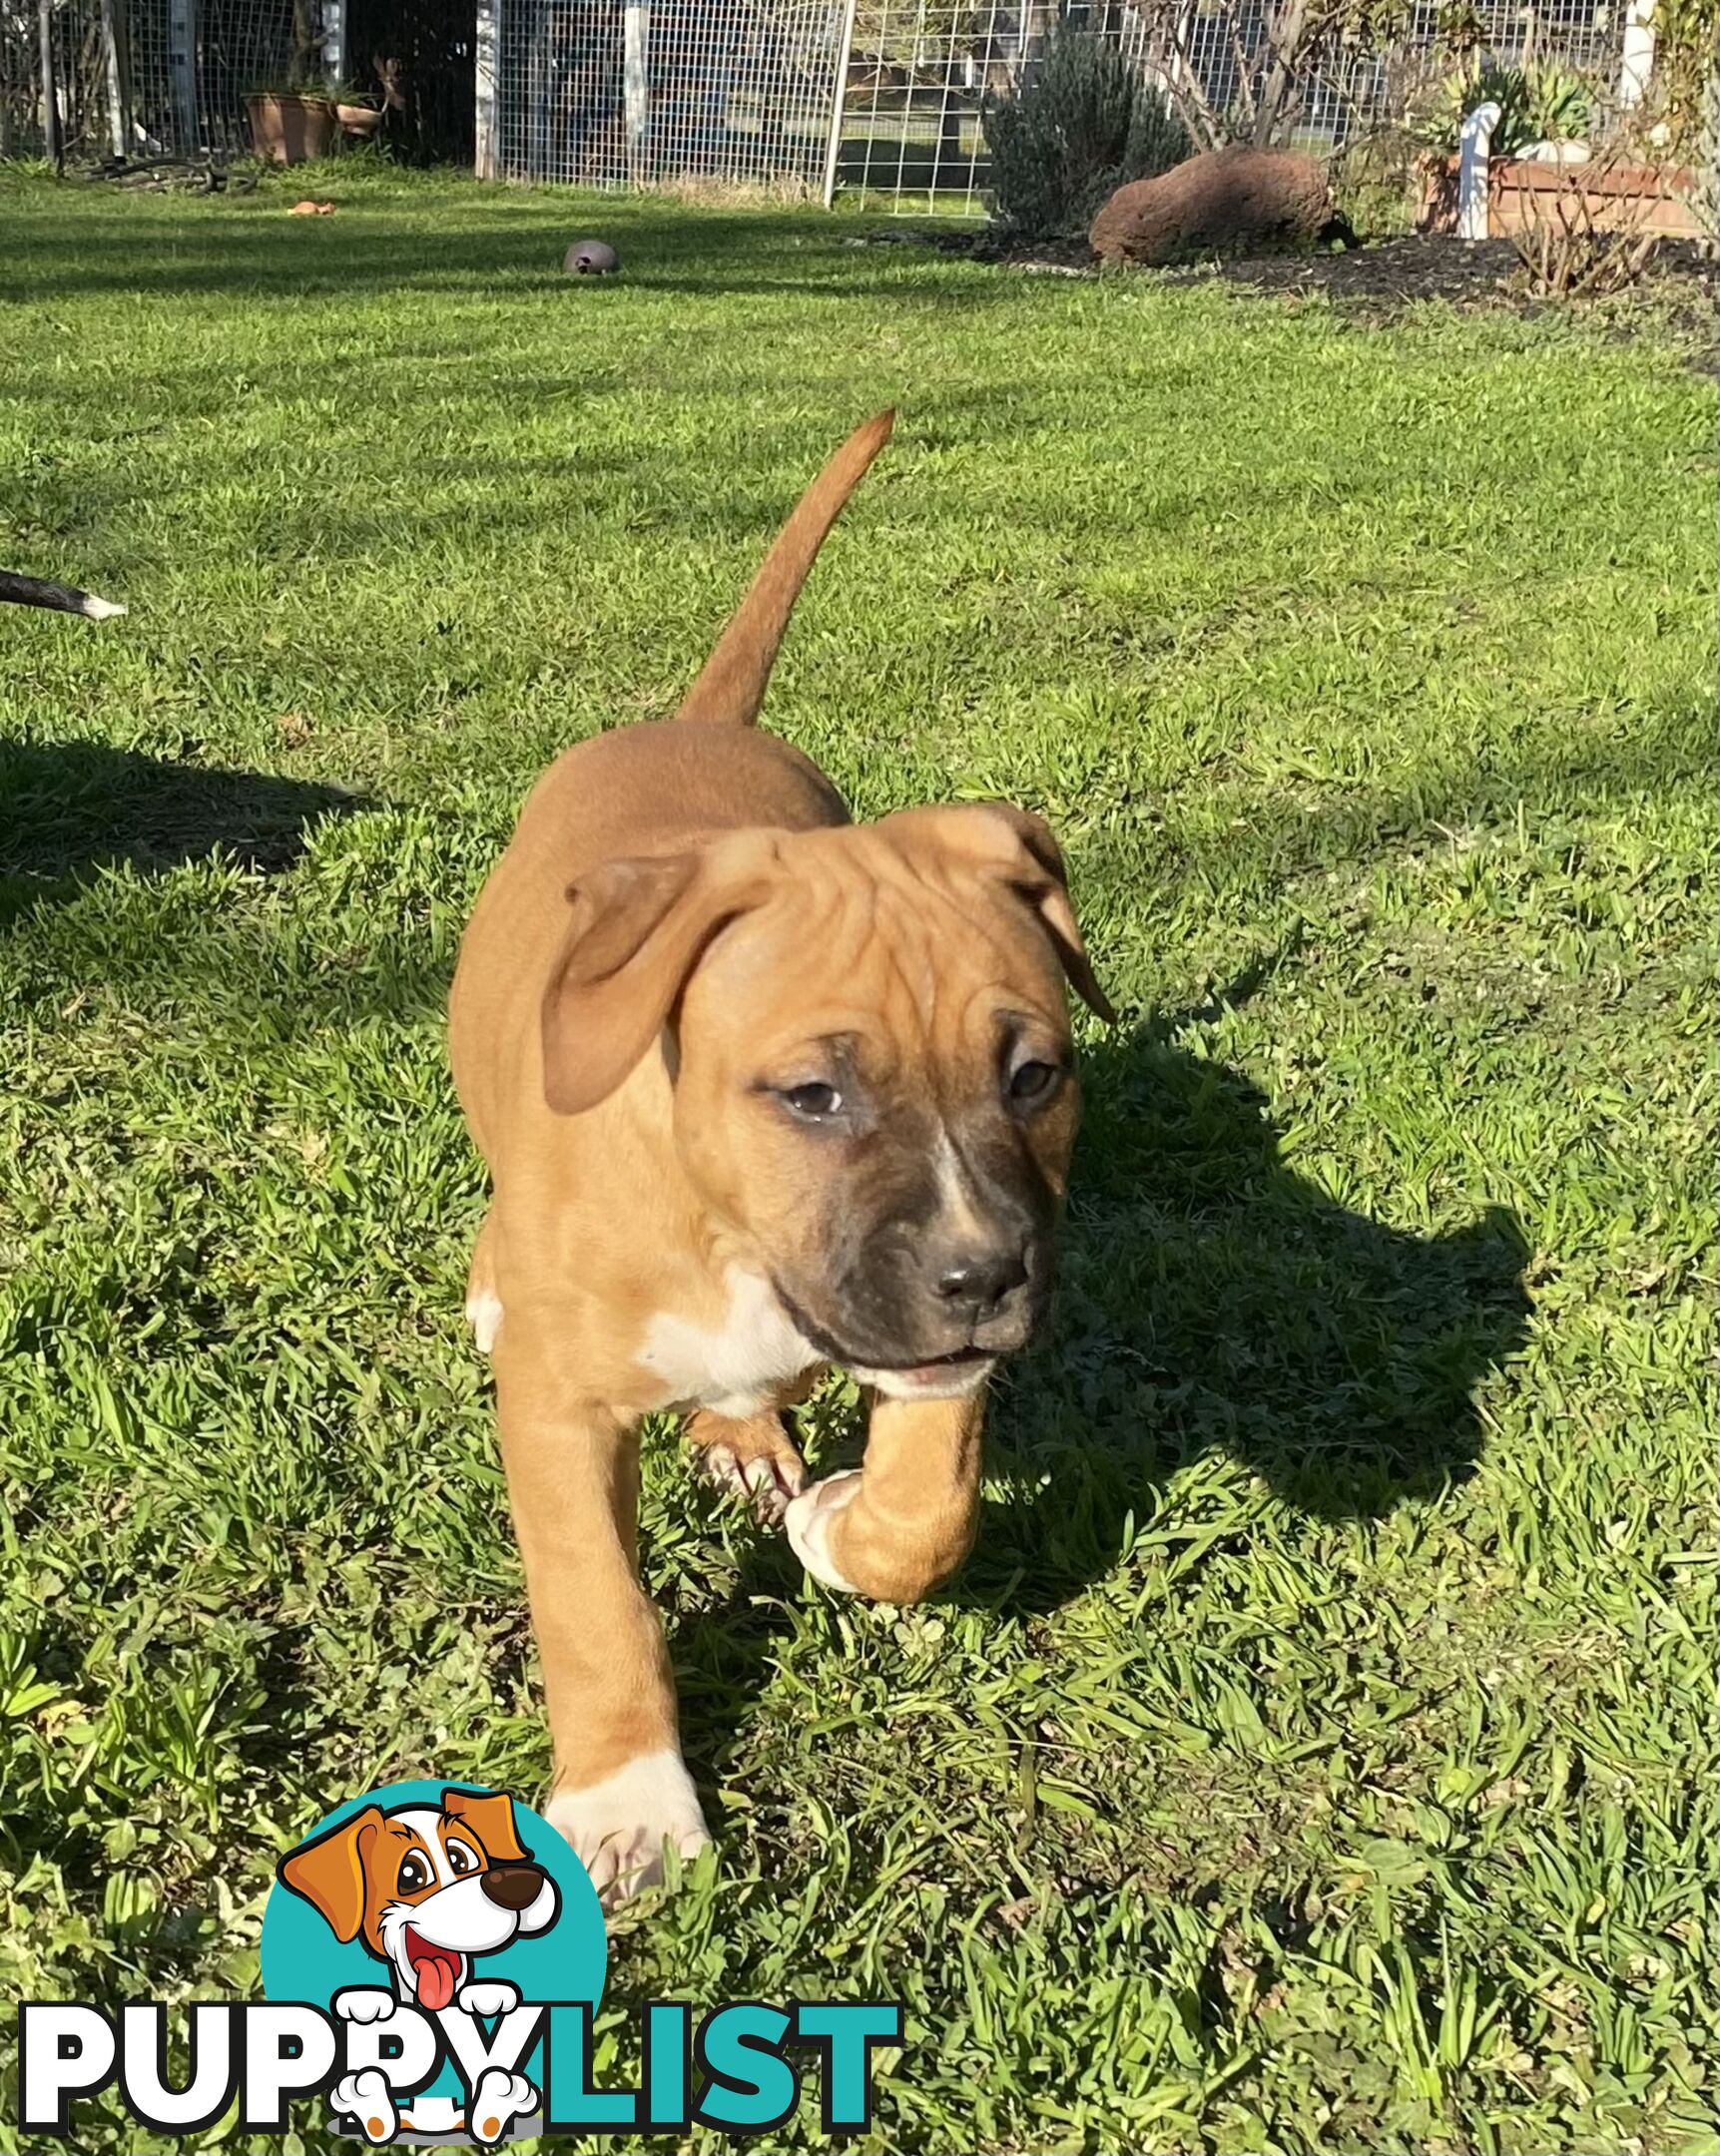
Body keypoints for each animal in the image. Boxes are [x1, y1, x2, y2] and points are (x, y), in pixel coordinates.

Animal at [450, 411, 1112, 1896]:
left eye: (1034, 1075)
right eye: (811, 1094)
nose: (987, 1279)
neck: (724, 1230)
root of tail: (692, 721)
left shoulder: (916, 1341)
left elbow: (929, 1514)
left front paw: (839, 1528)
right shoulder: (560, 1414)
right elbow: (594, 1602)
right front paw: (628, 1800)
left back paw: (751, 1438)